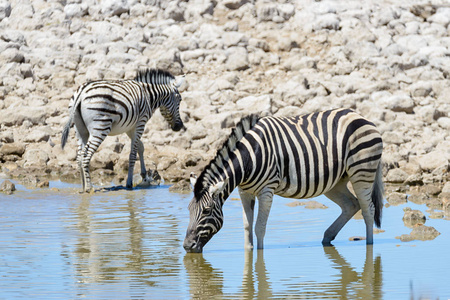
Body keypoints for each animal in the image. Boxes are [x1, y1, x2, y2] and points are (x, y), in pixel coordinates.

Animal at [183, 109, 384, 252]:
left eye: (207, 211)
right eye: (189, 210)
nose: (187, 246)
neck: (249, 158)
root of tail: (362, 117)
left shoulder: (266, 190)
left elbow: (259, 228)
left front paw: (259, 257)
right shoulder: (244, 191)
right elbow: (247, 227)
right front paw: (248, 253)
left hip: (361, 172)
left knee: (368, 210)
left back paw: (370, 246)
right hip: (335, 182)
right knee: (351, 204)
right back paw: (327, 237)